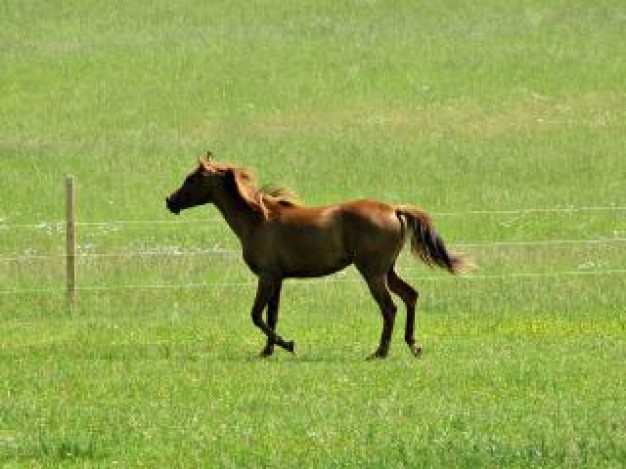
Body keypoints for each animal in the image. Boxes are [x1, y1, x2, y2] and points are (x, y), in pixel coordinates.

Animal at [166, 153, 468, 358]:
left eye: (191, 178)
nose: (170, 202)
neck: (258, 220)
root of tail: (394, 209)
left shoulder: (266, 276)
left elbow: (255, 315)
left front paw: (288, 344)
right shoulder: (278, 278)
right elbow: (271, 315)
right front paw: (269, 350)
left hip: (372, 273)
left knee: (389, 307)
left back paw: (379, 352)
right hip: (387, 271)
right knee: (410, 296)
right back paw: (413, 345)